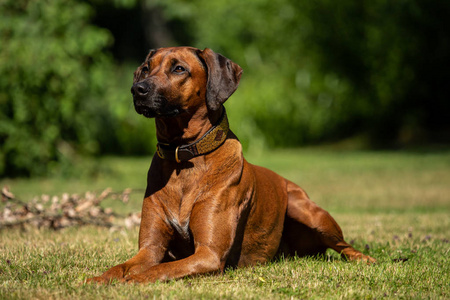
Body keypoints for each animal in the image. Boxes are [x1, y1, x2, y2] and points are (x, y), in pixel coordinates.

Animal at [86, 47, 374, 284]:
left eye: (179, 69)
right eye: (146, 68)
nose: (138, 89)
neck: (184, 159)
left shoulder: (209, 254)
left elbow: (161, 269)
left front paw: (134, 280)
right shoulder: (150, 249)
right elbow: (124, 266)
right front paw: (101, 279)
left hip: (307, 210)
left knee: (344, 246)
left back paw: (364, 258)